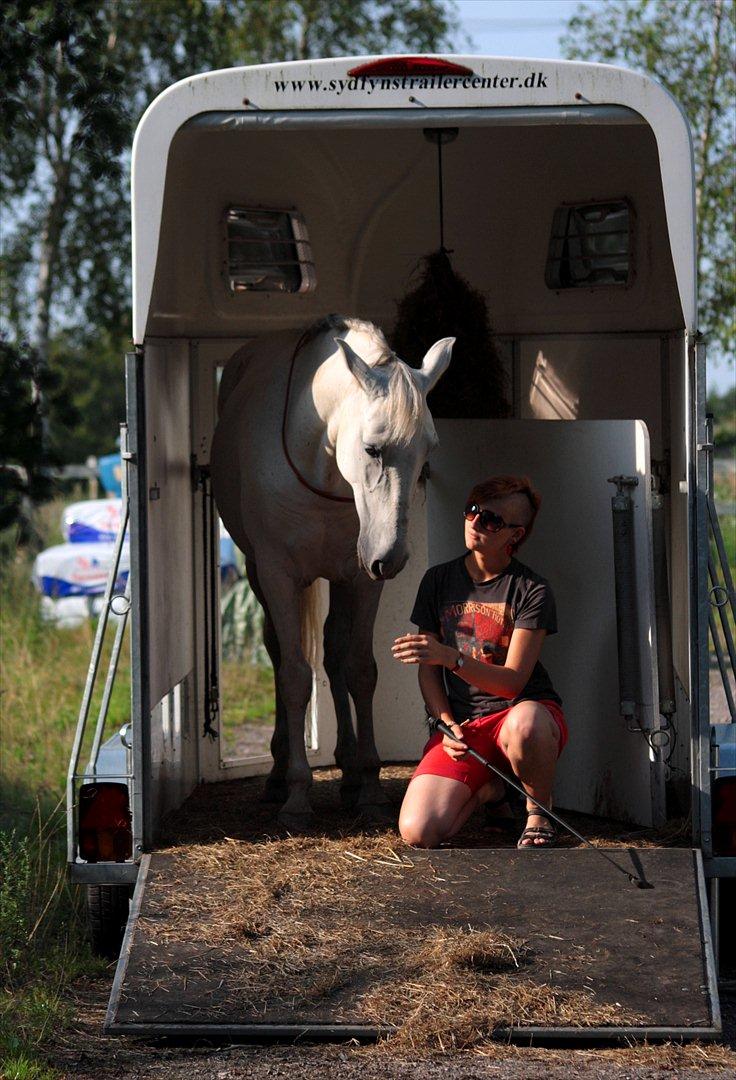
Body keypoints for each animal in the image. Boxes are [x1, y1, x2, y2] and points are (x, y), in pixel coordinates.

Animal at [210, 313, 453, 825]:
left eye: (428, 451)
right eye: (373, 449)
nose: (392, 557)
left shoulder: (361, 579)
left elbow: (360, 669)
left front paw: (370, 786)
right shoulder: (279, 576)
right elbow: (295, 675)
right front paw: (298, 795)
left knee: (335, 653)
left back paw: (348, 772)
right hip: (261, 576)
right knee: (281, 653)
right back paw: (279, 775)